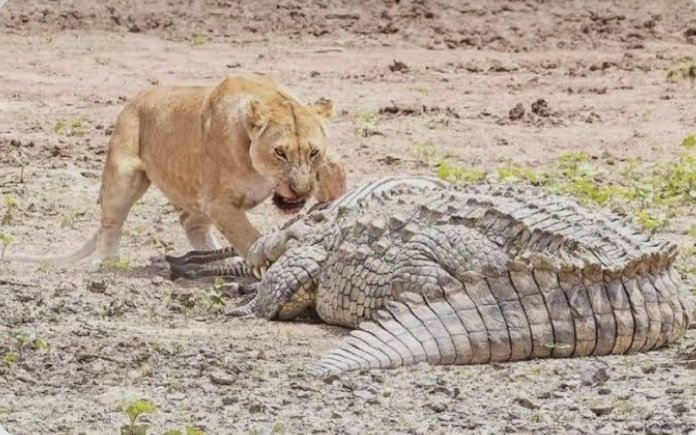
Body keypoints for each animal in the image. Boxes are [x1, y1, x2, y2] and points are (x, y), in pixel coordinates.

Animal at [4, 74, 346, 270]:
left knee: (190, 223)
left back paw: (219, 257)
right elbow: (247, 234)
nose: (301, 192)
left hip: (193, 196)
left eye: (313, 152)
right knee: (110, 222)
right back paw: (106, 262)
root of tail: (134, 100)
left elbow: (334, 166)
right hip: (124, 173)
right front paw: (262, 258)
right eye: (279, 153)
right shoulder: (218, 201)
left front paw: (333, 190)